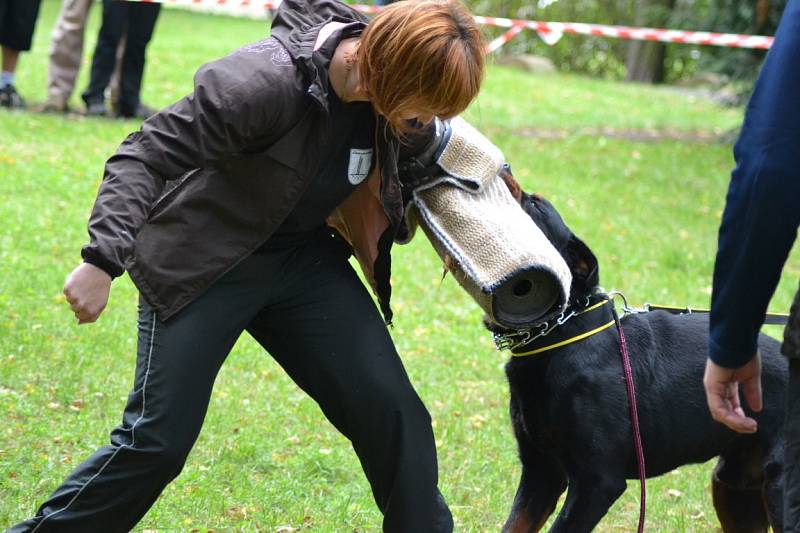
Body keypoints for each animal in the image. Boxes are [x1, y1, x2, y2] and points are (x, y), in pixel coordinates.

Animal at [494, 181, 788, 528]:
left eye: (536, 205)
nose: (506, 170)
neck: (561, 335)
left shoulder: (598, 481)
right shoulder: (541, 472)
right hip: (735, 488)